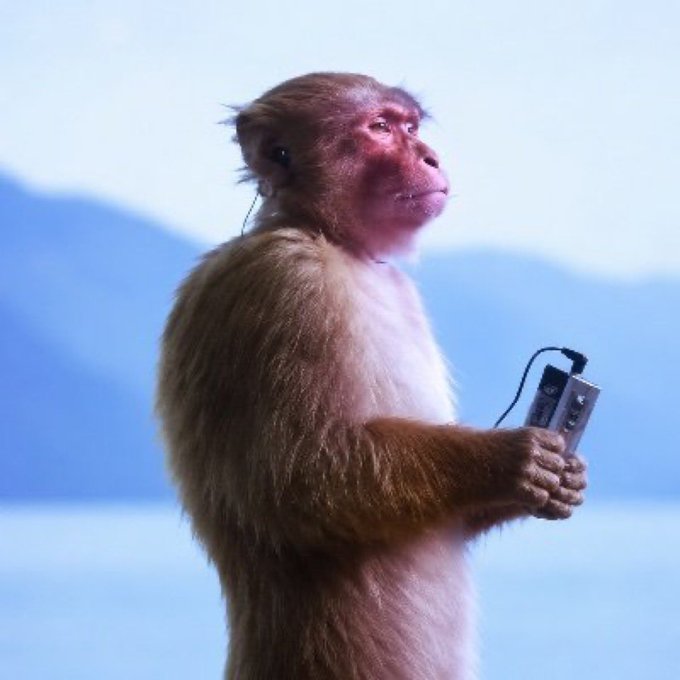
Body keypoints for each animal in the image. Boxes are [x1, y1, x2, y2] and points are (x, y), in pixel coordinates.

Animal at [155, 72, 588, 680]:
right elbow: (299, 478)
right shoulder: (285, 284)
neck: (328, 238)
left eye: (411, 127)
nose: (431, 156)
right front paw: (512, 460)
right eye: (380, 128)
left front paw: (561, 474)